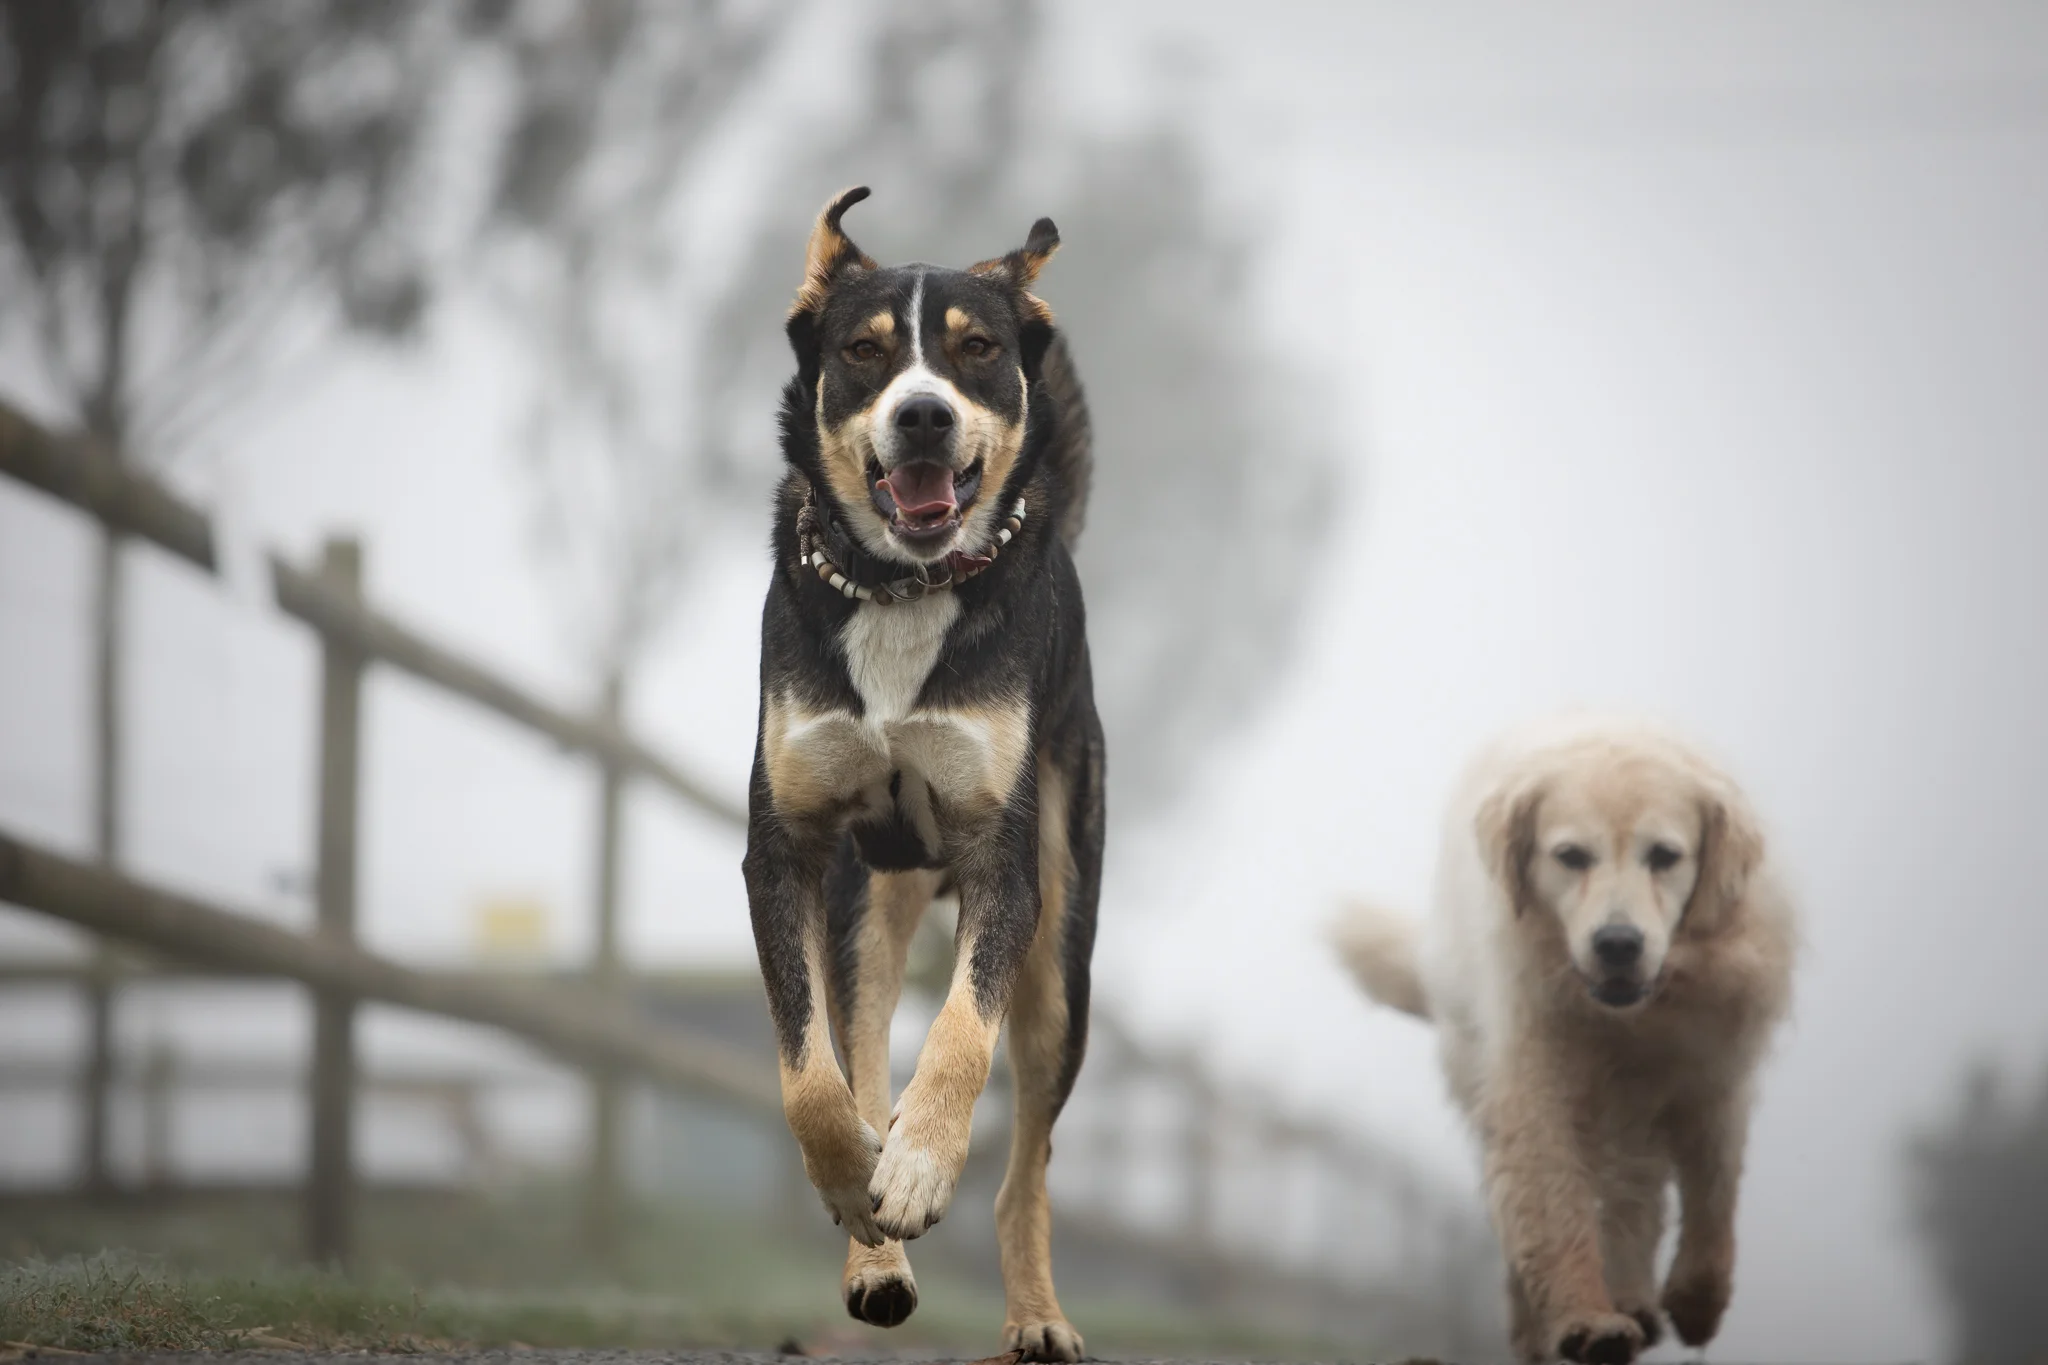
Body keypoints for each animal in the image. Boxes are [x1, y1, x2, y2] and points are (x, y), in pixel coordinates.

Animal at [741, 187, 1105, 1358]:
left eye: (975, 350)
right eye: (863, 350)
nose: (924, 417)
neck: (904, 587)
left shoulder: (1004, 862)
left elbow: (957, 1039)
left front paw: (917, 1167)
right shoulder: (787, 850)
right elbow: (812, 1072)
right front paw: (860, 1183)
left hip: (1064, 967)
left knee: (1026, 1165)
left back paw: (1033, 1316)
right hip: (869, 902)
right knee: (856, 1045)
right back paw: (875, 1254)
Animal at [1327, 716, 1794, 1365]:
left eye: (1665, 856)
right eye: (1571, 856)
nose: (1617, 943)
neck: (1637, 1017)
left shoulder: (1715, 1075)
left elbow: (1713, 1193)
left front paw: (1698, 1301)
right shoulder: (1536, 1077)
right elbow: (1553, 1201)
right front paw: (1586, 1322)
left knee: (1635, 1199)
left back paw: (1636, 1300)